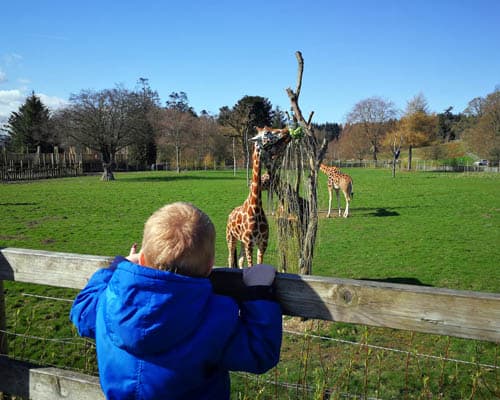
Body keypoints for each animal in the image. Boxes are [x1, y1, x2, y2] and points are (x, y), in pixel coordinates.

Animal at [227, 126, 290, 268]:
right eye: (267, 133)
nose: (286, 130)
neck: (256, 207)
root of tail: (230, 214)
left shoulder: (263, 243)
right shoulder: (249, 243)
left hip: (241, 242)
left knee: (240, 260)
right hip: (231, 238)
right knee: (230, 258)